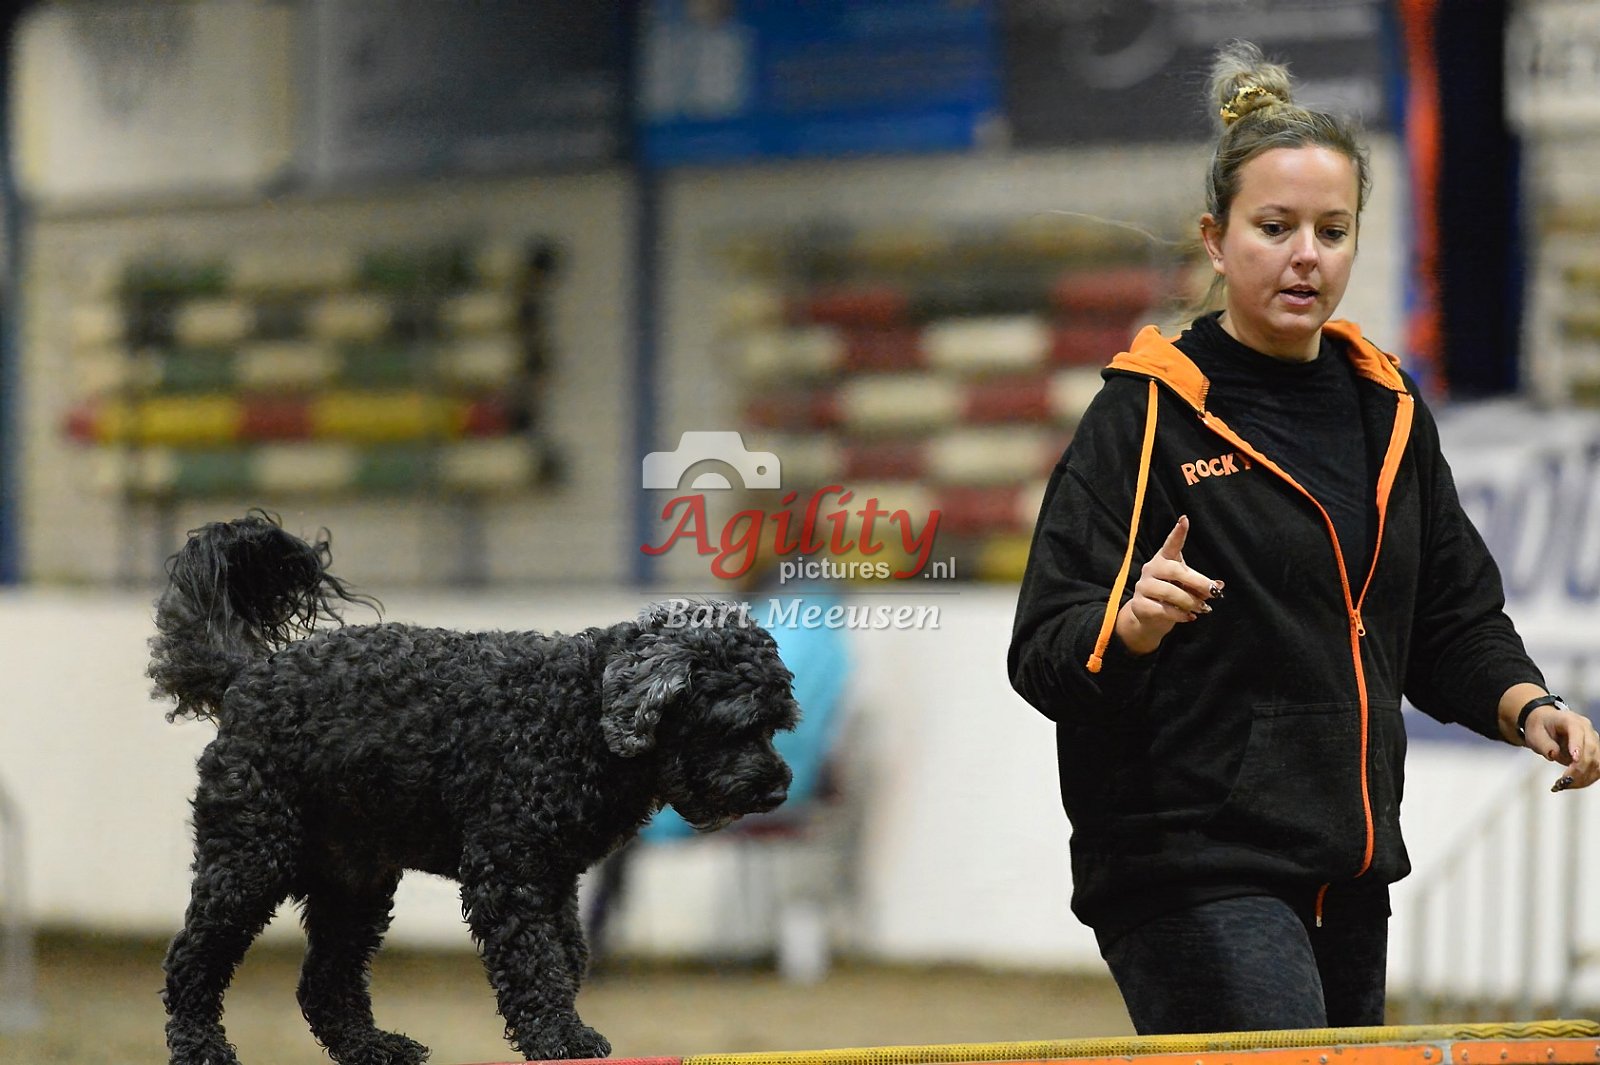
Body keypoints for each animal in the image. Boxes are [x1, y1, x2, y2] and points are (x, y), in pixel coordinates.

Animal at [149, 513, 798, 1064]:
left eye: (776, 724)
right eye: (735, 723)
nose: (776, 792)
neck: (579, 712)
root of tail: (247, 676)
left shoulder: (554, 877)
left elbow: (567, 954)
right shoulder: (507, 869)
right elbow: (533, 960)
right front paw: (560, 1037)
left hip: (355, 883)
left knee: (326, 984)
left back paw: (373, 1047)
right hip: (250, 860)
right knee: (191, 962)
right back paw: (201, 1047)